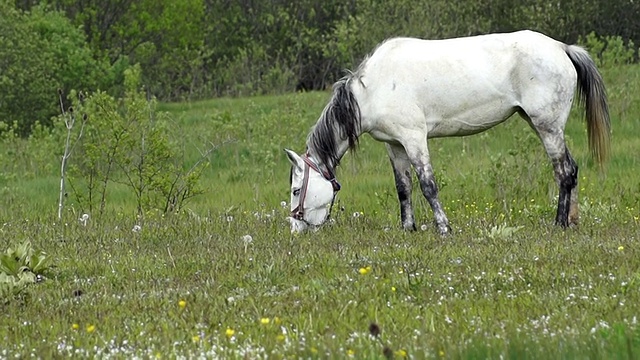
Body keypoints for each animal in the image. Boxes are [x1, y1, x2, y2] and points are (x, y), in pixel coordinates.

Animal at [284, 30, 608, 233]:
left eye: (296, 190)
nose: (296, 228)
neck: (373, 89)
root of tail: (562, 48)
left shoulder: (414, 138)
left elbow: (428, 185)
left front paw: (443, 227)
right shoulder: (395, 145)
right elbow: (403, 188)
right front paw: (408, 228)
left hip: (547, 126)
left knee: (564, 172)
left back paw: (559, 224)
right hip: (538, 123)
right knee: (571, 169)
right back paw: (572, 221)